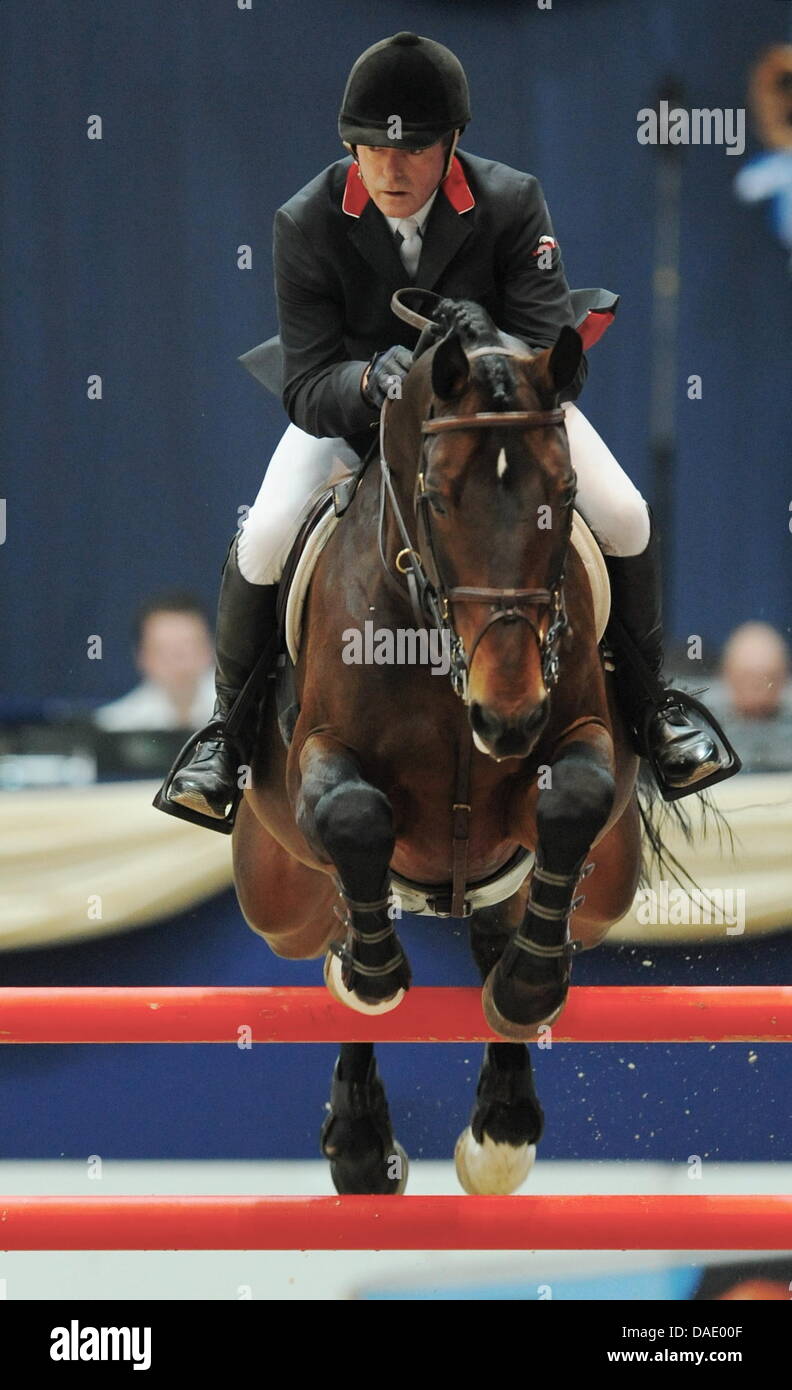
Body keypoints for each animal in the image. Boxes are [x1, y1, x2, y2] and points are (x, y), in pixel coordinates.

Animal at [229, 293, 641, 1195]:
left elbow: (573, 799)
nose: (506, 715)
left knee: (514, 914)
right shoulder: (321, 758)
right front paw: (374, 975)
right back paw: (359, 1129)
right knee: (332, 924)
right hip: (277, 901)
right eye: (440, 499)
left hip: (605, 891)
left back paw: (503, 1125)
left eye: (565, 492)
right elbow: (354, 817)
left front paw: (528, 989)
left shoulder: (573, 746)